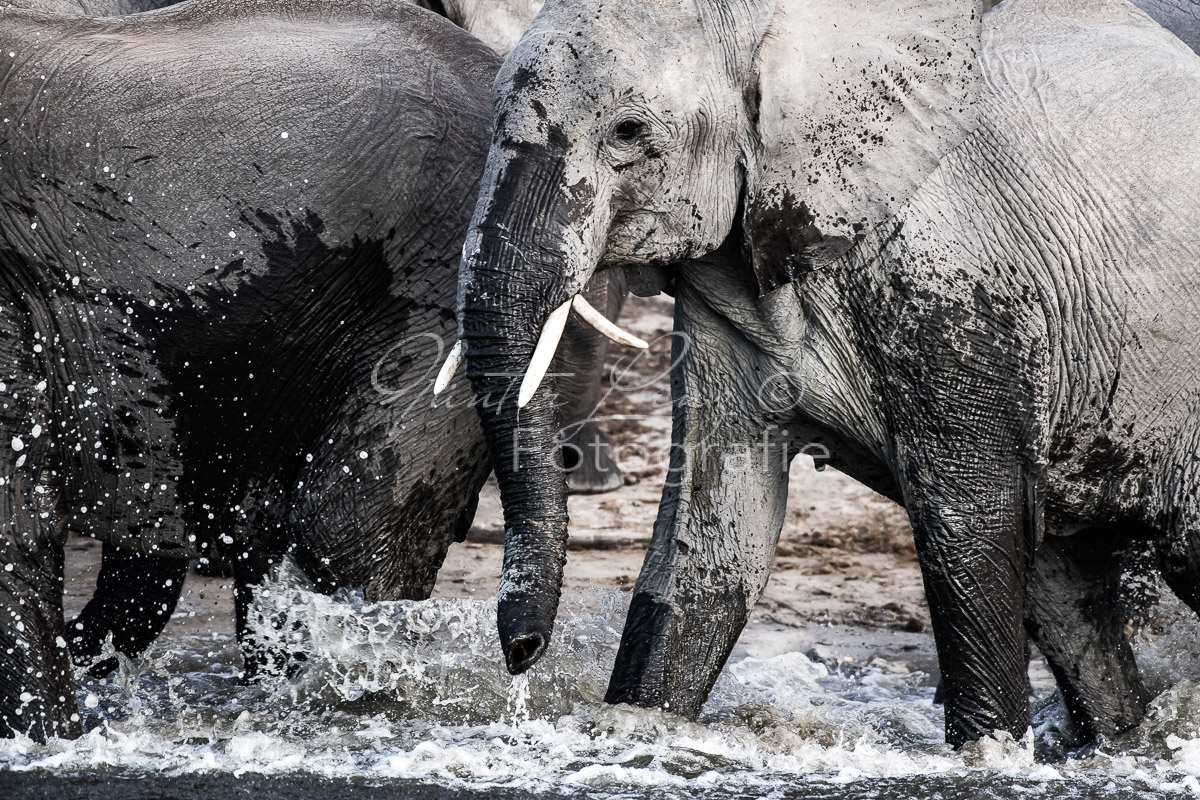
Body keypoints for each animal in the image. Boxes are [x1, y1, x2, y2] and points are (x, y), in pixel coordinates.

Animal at [451, 0, 1200, 753]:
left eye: (629, 131)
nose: (522, 654)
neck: (778, 30)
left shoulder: (961, 286)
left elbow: (968, 526)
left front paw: (982, 755)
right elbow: (716, 533)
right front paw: (640, 724)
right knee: (1064, 595)